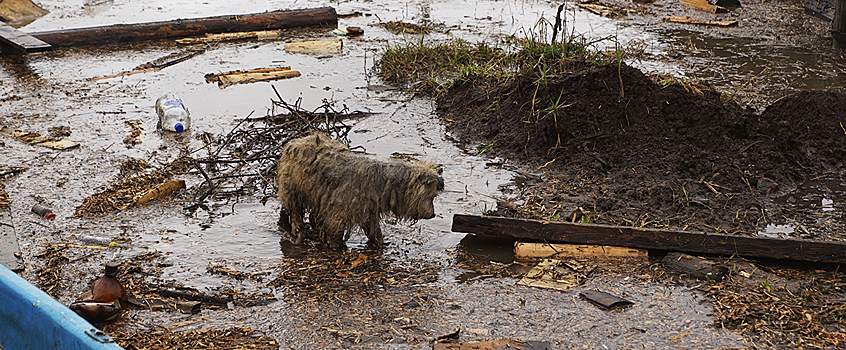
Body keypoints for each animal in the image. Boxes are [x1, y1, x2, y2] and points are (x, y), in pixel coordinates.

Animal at [280, 133, 450, 247]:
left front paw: (381, 243)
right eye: (430, 196)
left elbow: (374, 231)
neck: (383, 185)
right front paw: (337, 247)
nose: (432, 214)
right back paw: (297, 229)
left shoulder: (369, 211)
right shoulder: (339, 212)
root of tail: (296, 141)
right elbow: (335, 231)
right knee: (293, 207)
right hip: (292, 186)